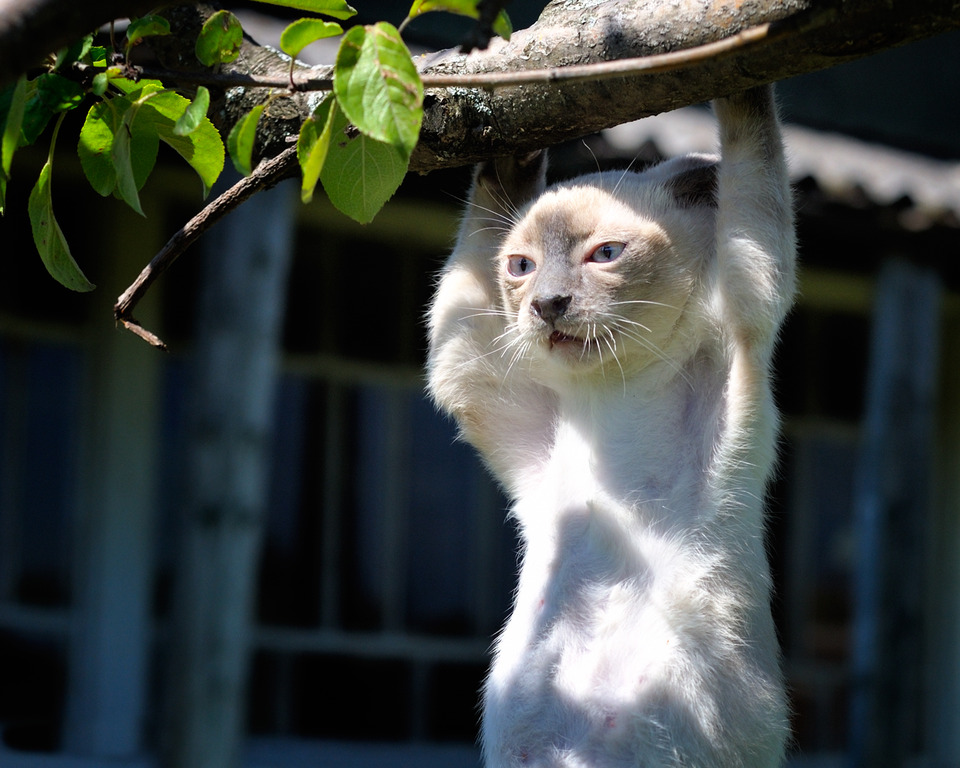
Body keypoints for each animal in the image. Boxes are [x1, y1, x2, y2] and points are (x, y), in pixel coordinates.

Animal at [428, 87, 796, 768]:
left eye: (604, 255)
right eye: (520, 266)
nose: (548, 305)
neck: (609, 396)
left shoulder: (747, 310)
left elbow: (754, 154)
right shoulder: (482, 381)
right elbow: (464, 293)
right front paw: (508, 141)